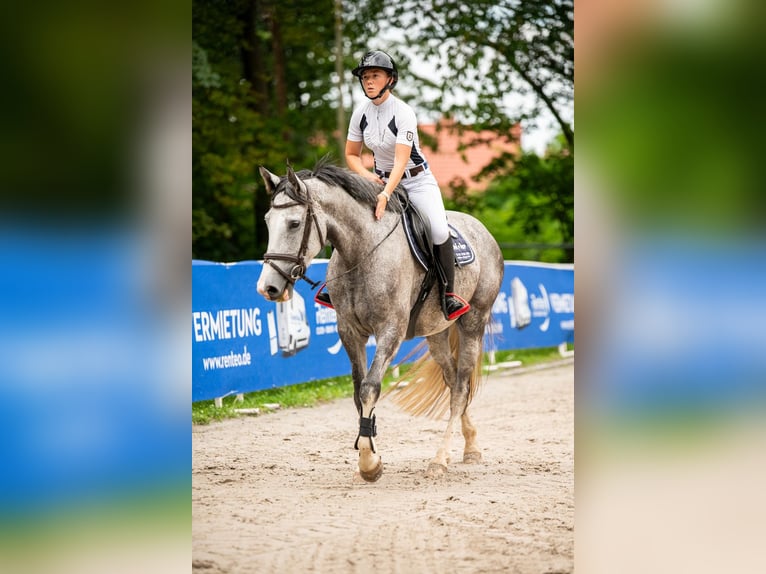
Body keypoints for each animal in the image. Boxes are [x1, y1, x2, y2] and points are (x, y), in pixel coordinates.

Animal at [258, 159, 508, 482]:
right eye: (267, 221)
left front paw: (368, 464)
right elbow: (357, 391)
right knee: (453, 383)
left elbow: (370, 388)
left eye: (294, 223)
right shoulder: (349, 331)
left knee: (462, 388)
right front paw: (370, 455)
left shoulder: (391, 330)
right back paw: (471, 446)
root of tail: (481, 229)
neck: (362, 251)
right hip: (437, 333)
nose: (268, 288)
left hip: (473, 322)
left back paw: (440, 459)